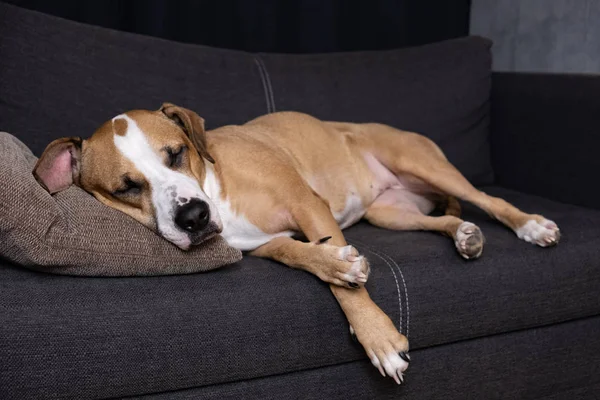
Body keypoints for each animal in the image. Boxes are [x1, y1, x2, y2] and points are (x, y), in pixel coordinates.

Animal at [31, 104, 556, 384]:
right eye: (126, 188)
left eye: (176, 154)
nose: (194, 218)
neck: (217, 185)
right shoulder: (266, 243)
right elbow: (304, 256)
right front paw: (335, 262)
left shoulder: (308, 205)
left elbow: (350, 290)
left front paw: (378, 338)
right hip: (390, 213)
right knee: (442, 218)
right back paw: (462, 233)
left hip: (425, 165)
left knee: (488, 199)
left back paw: (530, 225)